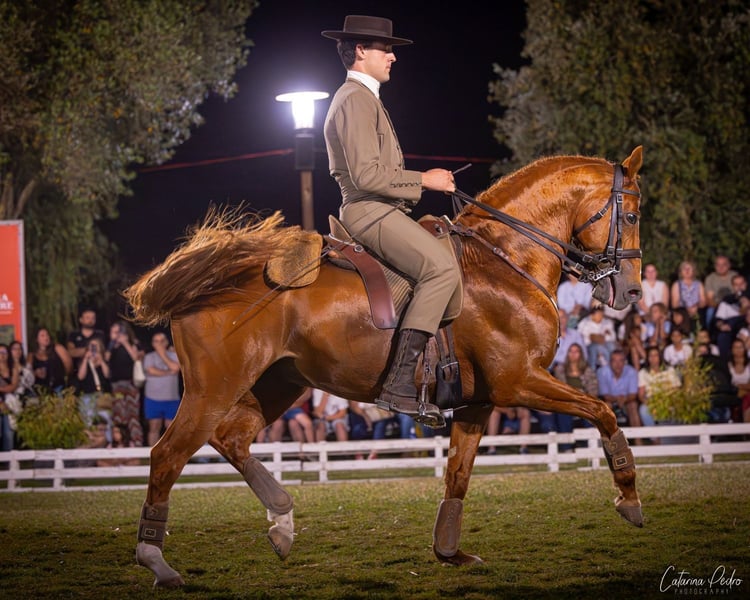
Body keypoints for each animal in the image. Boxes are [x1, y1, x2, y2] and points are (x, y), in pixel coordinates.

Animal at [126, 146, 645, 587]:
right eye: (633, 215)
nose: (632, 292)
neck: (503, 260)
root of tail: (211, 276)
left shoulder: (478, 402)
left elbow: (458, 475)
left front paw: (449, 552)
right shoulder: (519, 382)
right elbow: (603, 411)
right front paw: (629, 498)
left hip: (280, 383)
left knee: (231, 438)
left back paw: (282, 522)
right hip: (214, 388)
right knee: (167, 455)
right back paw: (157, 562)